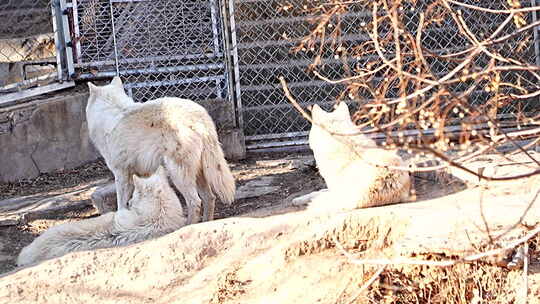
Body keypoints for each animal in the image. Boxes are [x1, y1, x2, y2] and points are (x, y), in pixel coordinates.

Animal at [86, 76, 234, 223]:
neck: (109, 114)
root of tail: (200, 119)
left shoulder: (121, 174)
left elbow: (121, 203)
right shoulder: (141, 174)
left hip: (178, 173)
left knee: (195, 201)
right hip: (199, 172)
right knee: (210, 198)